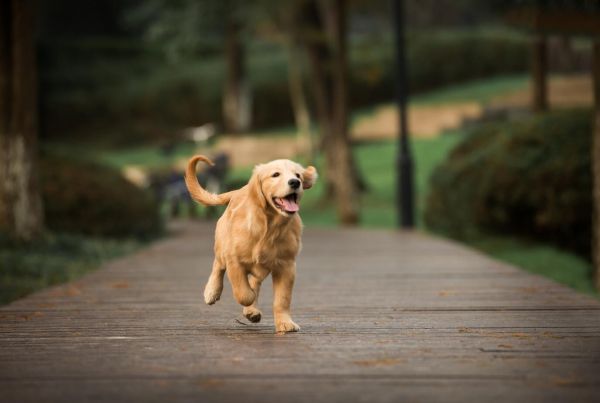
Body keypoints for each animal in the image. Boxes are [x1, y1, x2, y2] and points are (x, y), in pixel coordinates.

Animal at [185, 156, 318, 332]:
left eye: (298, 175)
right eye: (275, 174)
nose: (295, 182)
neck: (270, 226)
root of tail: (237, 191)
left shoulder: (287, 266)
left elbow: (282, 298)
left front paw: (284, 323)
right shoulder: (234, 260)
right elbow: (243, 292)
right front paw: (249, 303)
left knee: (255, 281)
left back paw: (252, 310)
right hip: (222, 245)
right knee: (218, 265)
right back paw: (212, 292)